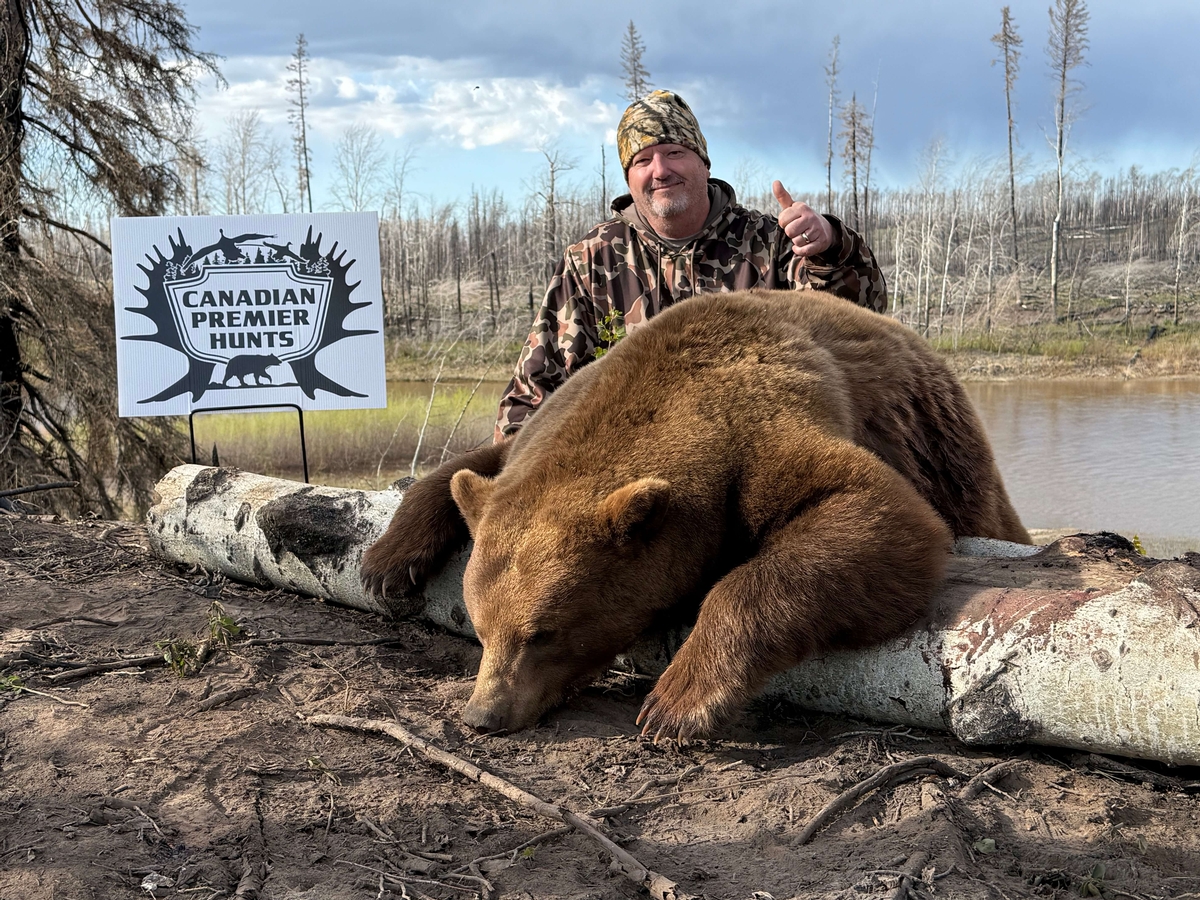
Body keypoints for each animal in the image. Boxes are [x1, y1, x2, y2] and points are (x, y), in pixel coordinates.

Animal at [361, 289, 1029, 741]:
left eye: (543, 633)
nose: (485, 715)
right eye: (481, 627)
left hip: (947, 454)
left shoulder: (766, 430)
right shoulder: (536, 433)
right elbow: (467, 463)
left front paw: (677, 702)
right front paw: (386, 563)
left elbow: (880, 513)